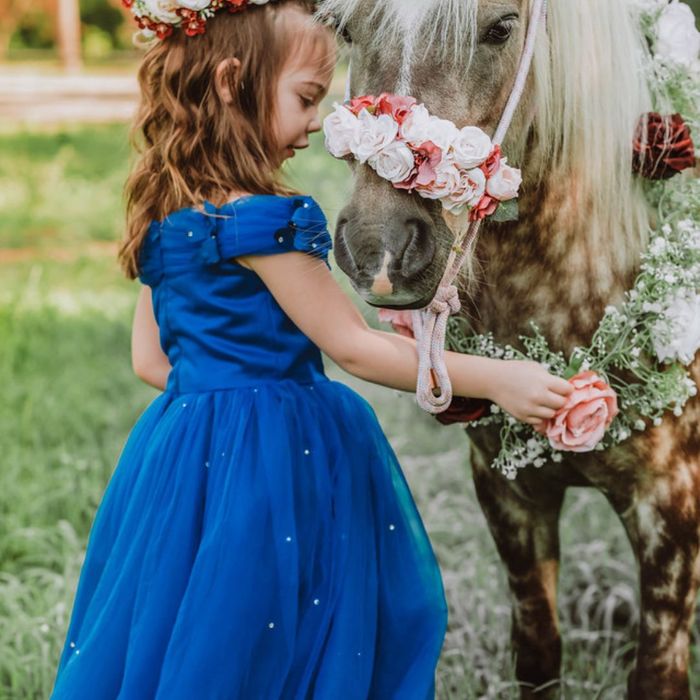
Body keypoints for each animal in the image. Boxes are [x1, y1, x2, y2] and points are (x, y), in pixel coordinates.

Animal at [318, 0, 700, 696]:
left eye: (500, 27)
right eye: (349, 30)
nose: (380, 253)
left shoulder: (671, 510)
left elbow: (658, 673)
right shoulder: (510, 496)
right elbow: (538, 652)